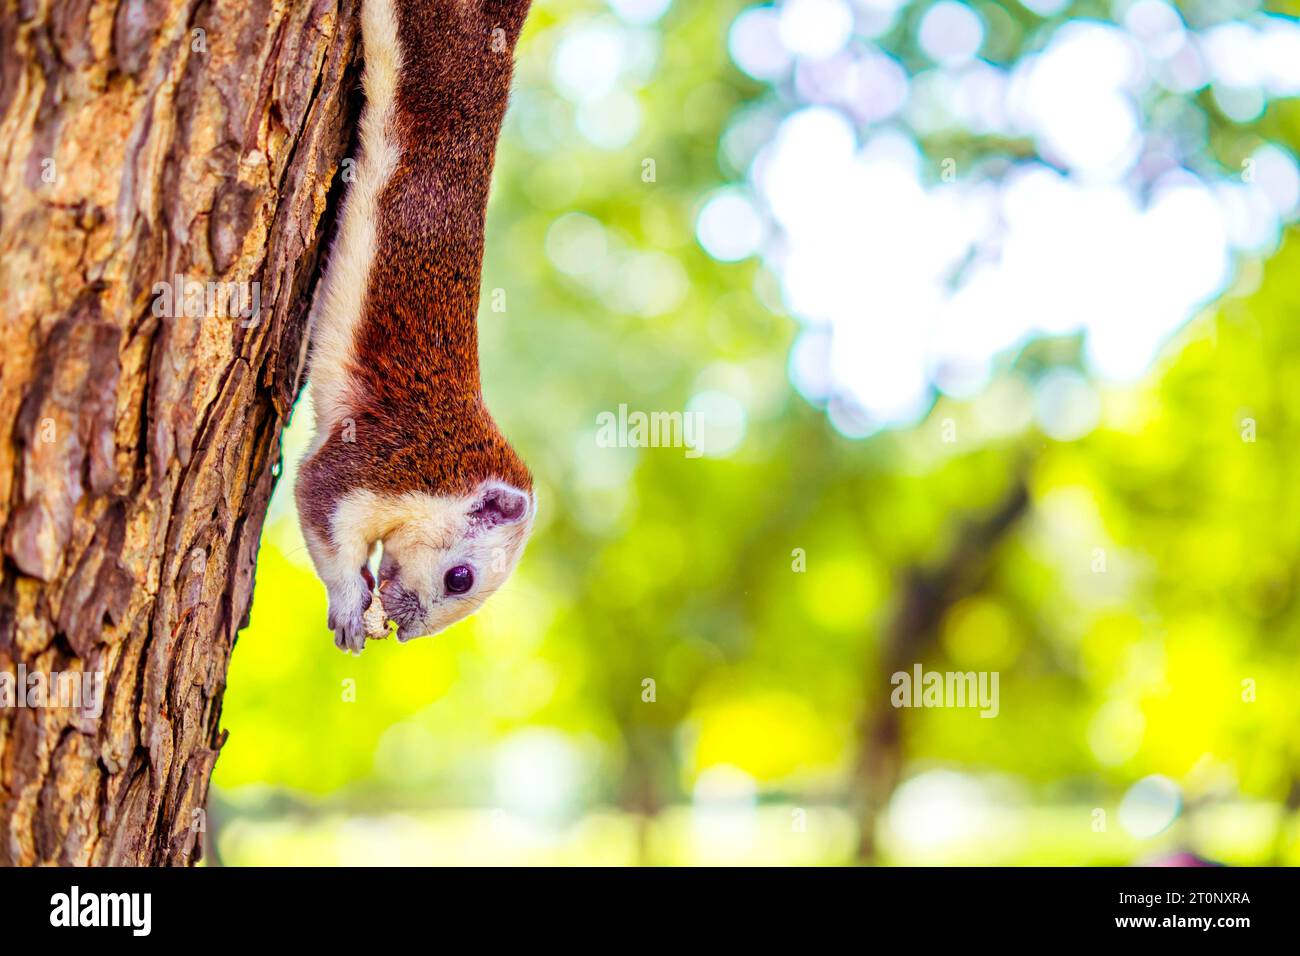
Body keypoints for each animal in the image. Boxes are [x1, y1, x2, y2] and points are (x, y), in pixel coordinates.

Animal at [295, 0, 535, 654]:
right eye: (460, 578)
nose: (407, 631)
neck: (449, 470)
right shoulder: (379, 462)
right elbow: (317, 502)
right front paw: (349, 607)